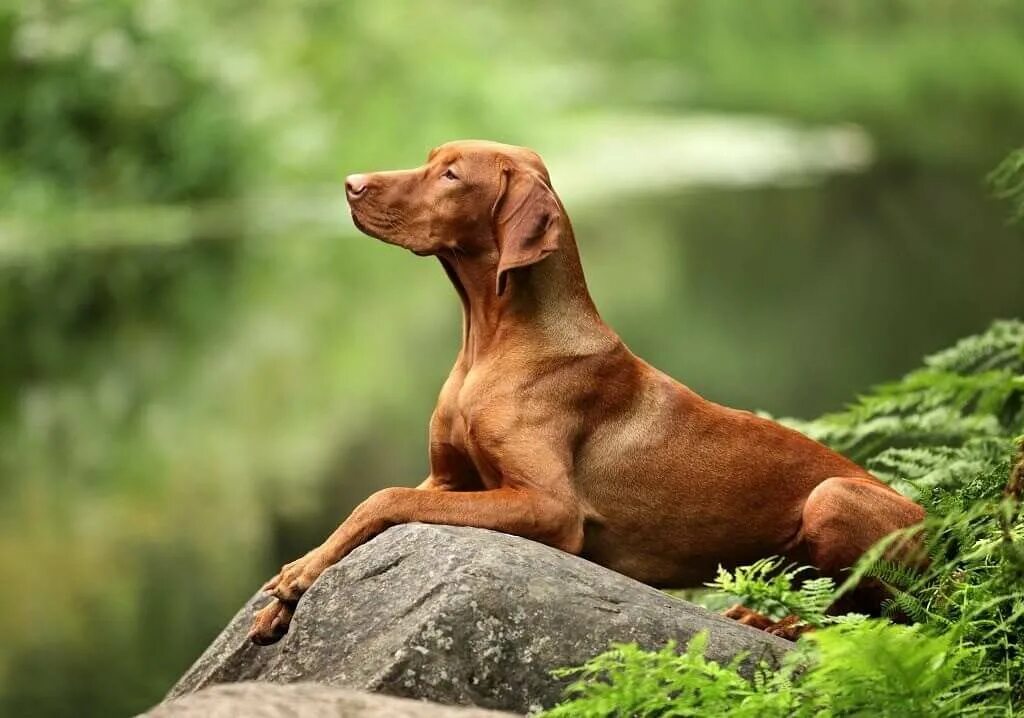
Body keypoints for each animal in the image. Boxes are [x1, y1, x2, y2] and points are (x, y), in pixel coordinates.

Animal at [249, 140, 929, 643]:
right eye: (431, 159)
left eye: (450, 174)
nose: (350, 182)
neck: (487, 345)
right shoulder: (448, 479)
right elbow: (368, 506)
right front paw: (293, 585)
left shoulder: (548, 506)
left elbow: (382, 497)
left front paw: (296, 576)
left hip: (833, 497)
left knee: (875, 615)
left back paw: (779, 623)